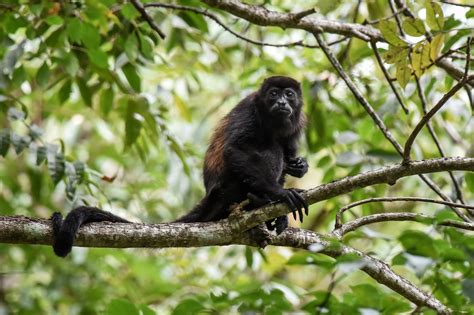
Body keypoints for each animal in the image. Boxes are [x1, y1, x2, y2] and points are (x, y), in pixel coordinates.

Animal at [51, 75, 310, 258]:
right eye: (274, 94)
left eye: (289, 94)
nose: (281, 102)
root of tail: (212, 194)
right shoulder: (250, 109)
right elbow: (235, 150)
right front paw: (281, 193)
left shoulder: (298, 121)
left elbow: (288, 153)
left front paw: (299, 166)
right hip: (228, 187)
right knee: (270, 147)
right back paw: (259, 199)